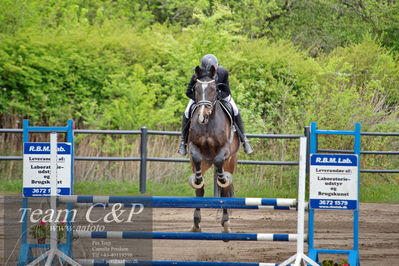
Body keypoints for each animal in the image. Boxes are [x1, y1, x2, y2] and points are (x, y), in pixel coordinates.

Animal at [188, 65, 241, 234]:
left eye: (213, 89)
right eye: (196, 89)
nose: (202, 116)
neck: (208, 124)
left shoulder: (225, 150)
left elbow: (219, 161)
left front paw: (223, 179)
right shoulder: (193, 148)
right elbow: (196, 157)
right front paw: (197, 179)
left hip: (230, 162)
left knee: (225, 190)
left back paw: (226, 223)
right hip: (205, 164)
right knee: (200, 190)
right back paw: (196, 223)